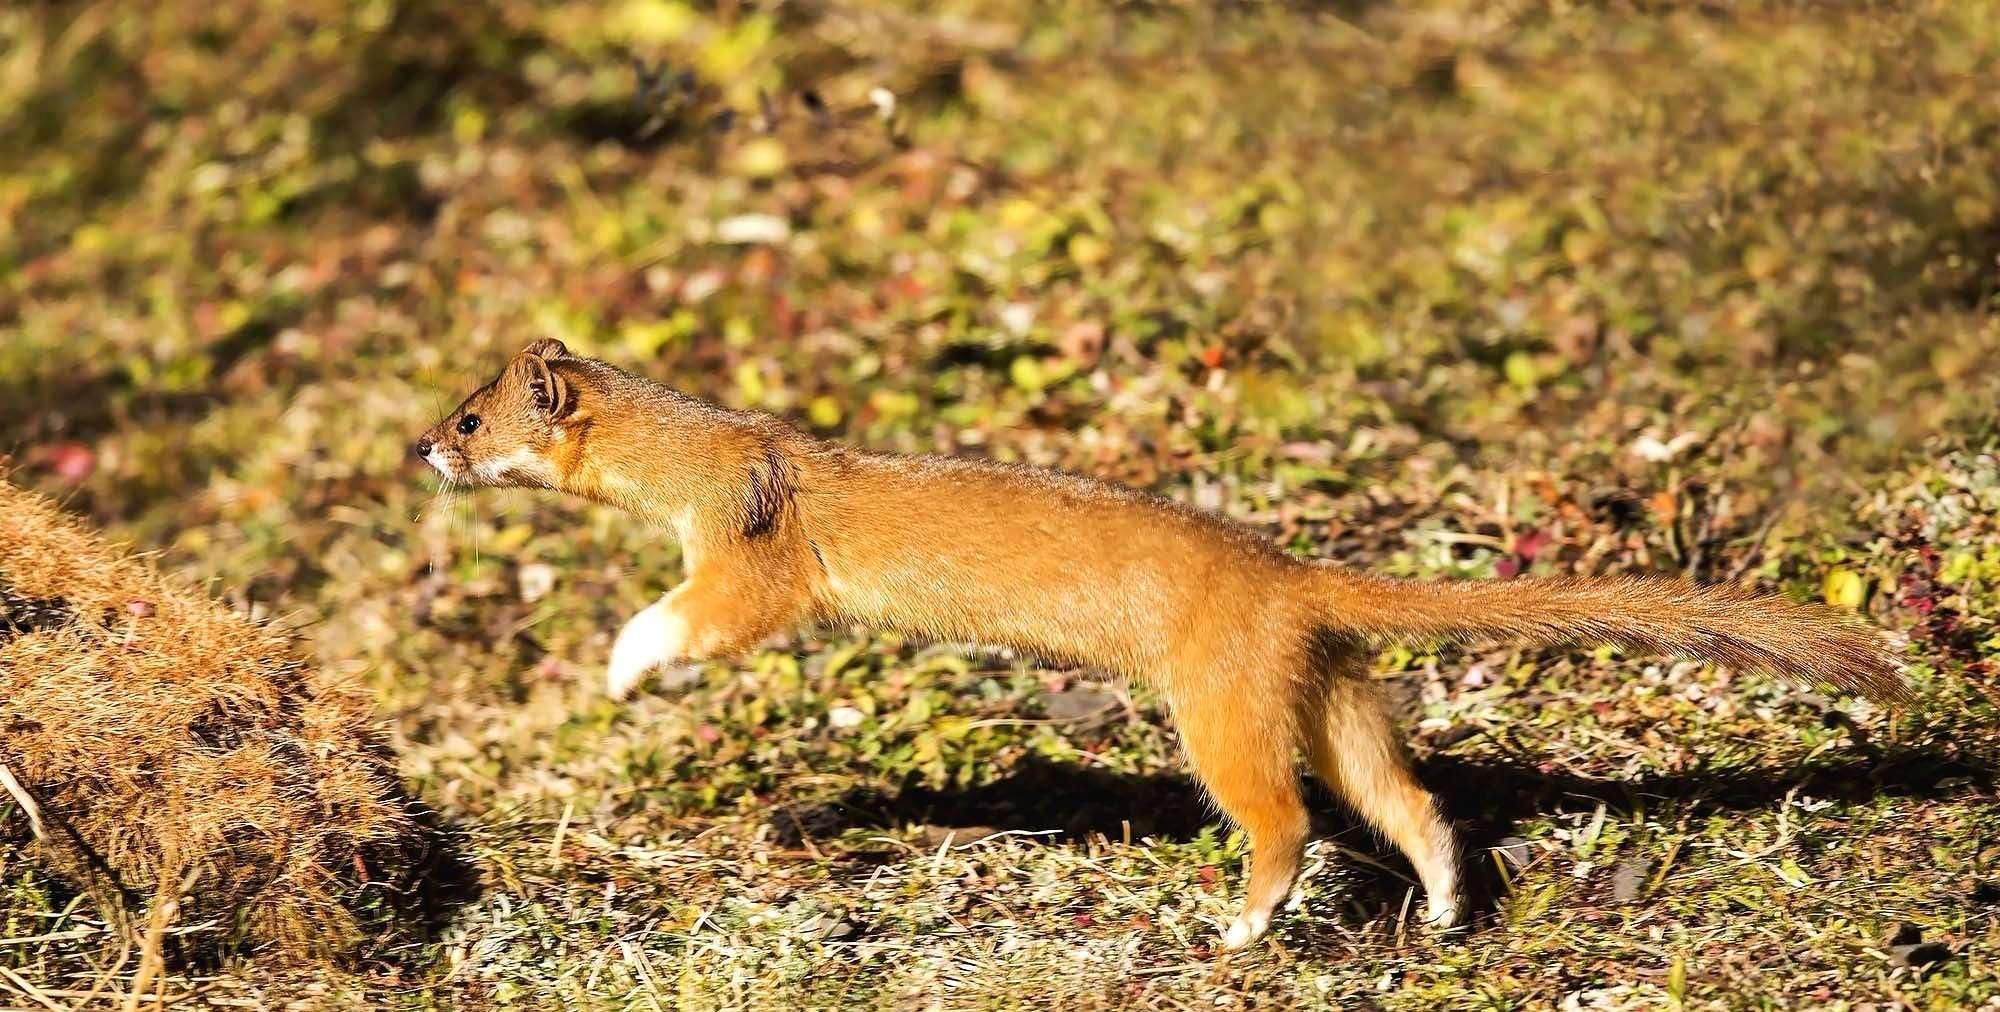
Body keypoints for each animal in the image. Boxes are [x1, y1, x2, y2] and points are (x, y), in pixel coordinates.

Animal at [418, 340, 1904, 948]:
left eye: (472, 416)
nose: (417, 447)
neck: (715, 451)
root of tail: (1289, 573)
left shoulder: (752, 545)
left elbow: (714, 610)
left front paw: (623, 662)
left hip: (1218, 698)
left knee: (1283, 818)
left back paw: (1243, 925)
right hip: (1328, 685)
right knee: (1405, 797)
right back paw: (1437, 904)